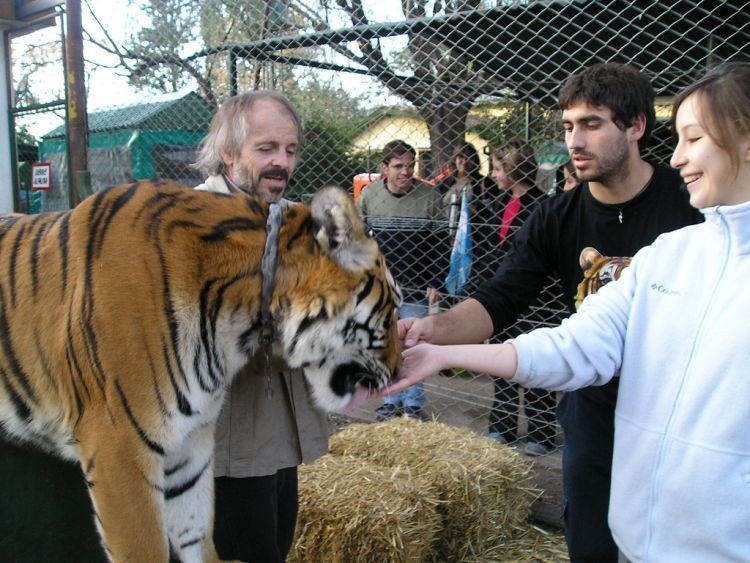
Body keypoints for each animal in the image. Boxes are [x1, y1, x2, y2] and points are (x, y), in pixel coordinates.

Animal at [0, 182, 402, 563]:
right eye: (393, 310)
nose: (398, 372)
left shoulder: (190, 440)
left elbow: (196, 531)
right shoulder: (118, 445)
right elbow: (143, 548)